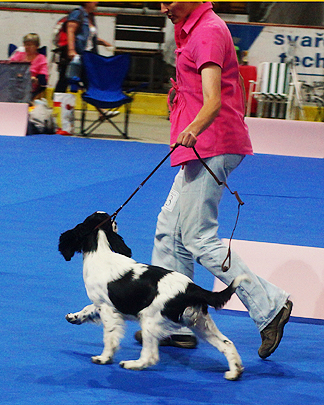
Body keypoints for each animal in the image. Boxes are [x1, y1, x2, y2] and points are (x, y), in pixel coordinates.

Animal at [58, 211, 246, 378]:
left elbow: (109, 337)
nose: (116, 220)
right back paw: (234, 372)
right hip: (200, 322)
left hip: (150, 319)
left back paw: (131, 364)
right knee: (227, 344)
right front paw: (73, 317)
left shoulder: (107, 310)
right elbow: (87, 309)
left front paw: (103, 358)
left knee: (150, 356)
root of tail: (192, 288)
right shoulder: (101, 304)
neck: (100, 251)